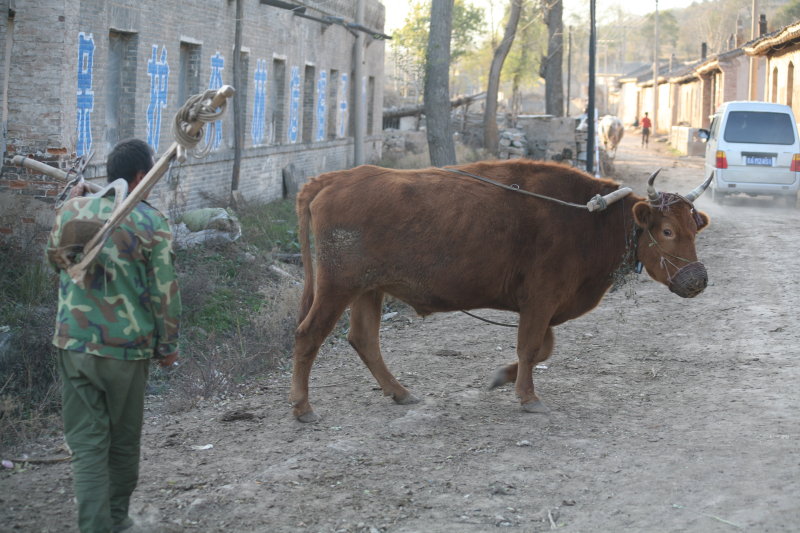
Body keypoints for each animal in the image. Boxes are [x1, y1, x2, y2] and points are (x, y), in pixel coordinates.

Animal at [290, 158, 712, 420]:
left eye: (694, 228)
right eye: (667, 230)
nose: (697, 279)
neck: (591, 219)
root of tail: (335, 179)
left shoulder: (542, 307)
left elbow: (542, 348)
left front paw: (500, 378)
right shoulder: (541, 300)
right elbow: (530, 347)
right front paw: (528, 398)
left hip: (369, 290)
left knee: (364, 339)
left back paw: (399, 392)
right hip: (337, 288)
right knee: (309, 335)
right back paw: (302, 408)